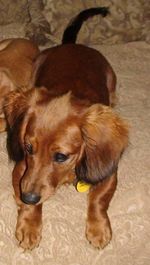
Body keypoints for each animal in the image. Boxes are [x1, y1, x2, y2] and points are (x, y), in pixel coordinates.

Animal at [2, 7, 128, 249]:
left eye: (61, 156)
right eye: (28, 148)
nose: (28, 197)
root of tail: (73, 45)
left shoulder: (107, 173)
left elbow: (99, 200)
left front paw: (99, 228)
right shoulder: (22, 172)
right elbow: (29, 201)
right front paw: (29, 225)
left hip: (111, 77)